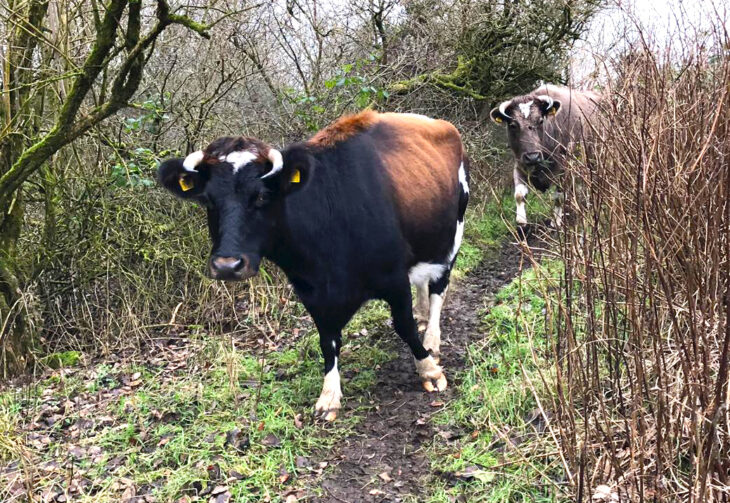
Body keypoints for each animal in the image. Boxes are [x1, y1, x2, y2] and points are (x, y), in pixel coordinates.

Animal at [156, 111, 470, 422]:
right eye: (208, 200)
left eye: (261, 196)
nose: (227, 265)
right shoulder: (311, 290)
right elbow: (327, 341)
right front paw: (329, 395)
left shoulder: (394, 277)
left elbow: (404, 326)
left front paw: (428, 370)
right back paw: (422, 314)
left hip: (452, 234)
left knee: (439, 288)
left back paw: (432, 337)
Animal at [490, 85, 596, 230]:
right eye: (512, 125)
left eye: (540, 120)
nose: (533, 157)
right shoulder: (520, 164)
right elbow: (519, 194)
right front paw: (521, 221)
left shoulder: (565, 169)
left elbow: (559, 197)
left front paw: (555, 222)